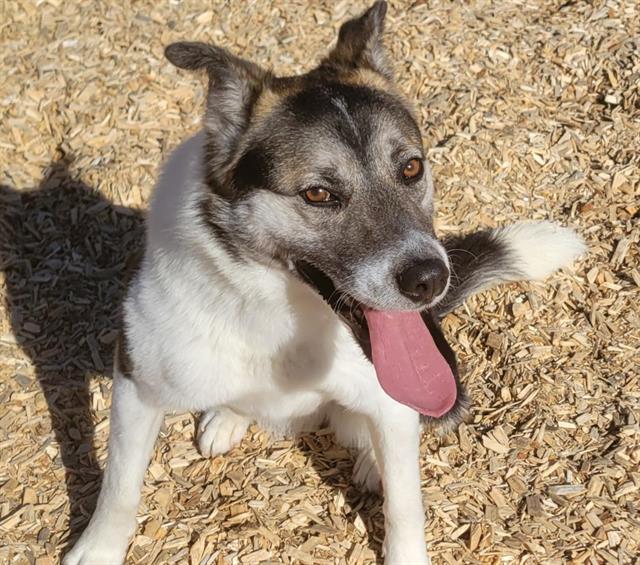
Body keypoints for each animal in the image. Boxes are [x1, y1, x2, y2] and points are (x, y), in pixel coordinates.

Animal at [63, 2, 584, 560]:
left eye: (412, 168)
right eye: (317, 194)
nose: (430, 279)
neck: (278, 310)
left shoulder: (396, 400)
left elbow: (406, 507)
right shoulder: (136, 383)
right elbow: (119, 487)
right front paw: (97, 549)